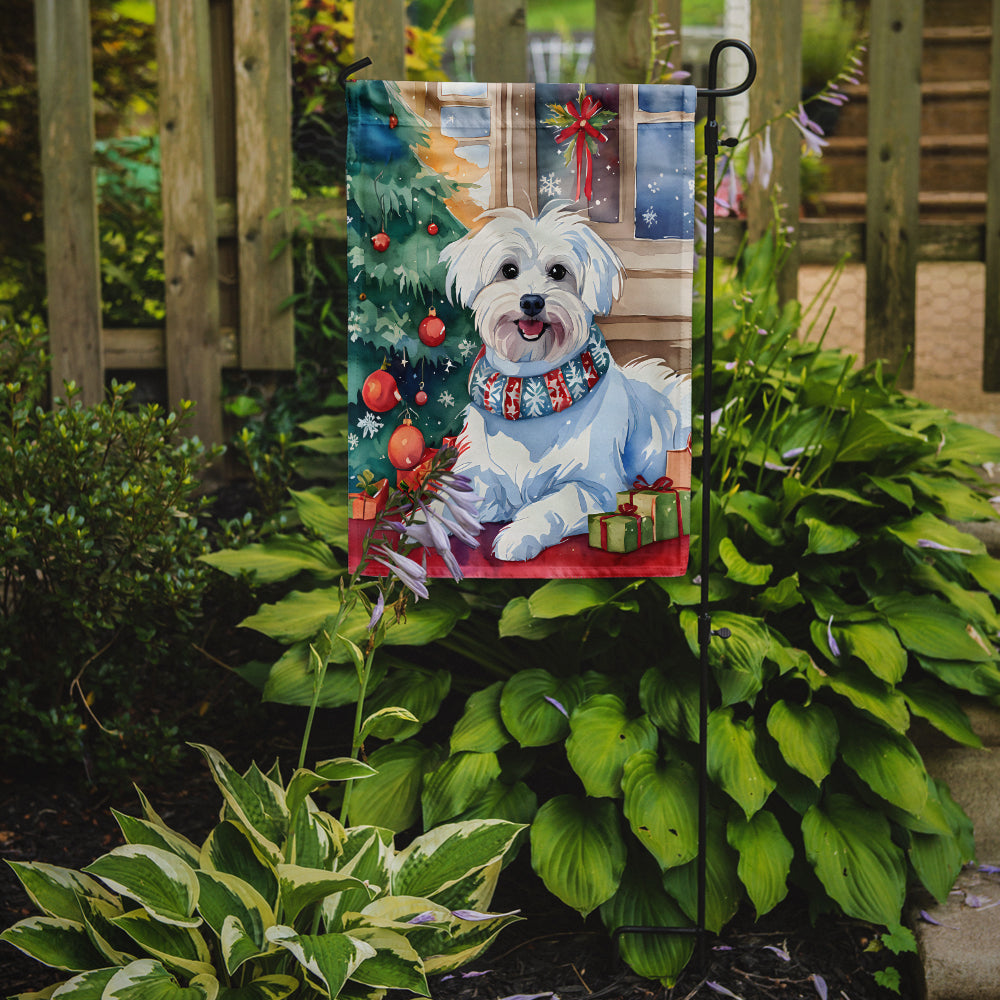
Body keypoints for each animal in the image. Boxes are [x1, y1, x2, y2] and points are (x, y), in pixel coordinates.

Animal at [442, 201, 692, 564]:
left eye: (559, 272)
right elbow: (449, 496)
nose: (532, 301)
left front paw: (519, 534)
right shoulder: (478, 470)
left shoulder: (597, 489)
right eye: (508, 270)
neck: (531, 391)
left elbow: (553, 504)